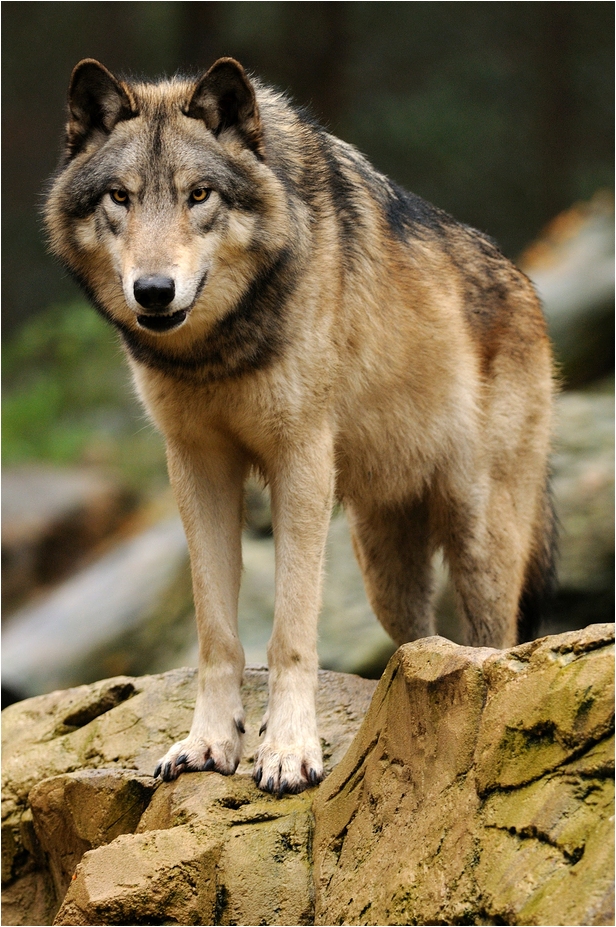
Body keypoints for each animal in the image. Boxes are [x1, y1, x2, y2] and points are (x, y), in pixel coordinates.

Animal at [45, 57, 555, 795]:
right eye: (120, 197)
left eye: (199, 195)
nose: (154, 291)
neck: (215, 353)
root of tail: (523, 281)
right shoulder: (196, 466)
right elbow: (216, 631)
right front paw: (209, 743)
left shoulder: (302, 462)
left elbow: (290, 630)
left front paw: (288, 751)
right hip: (386, 572)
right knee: (419, 643)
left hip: (481, 543)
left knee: (497, 646)